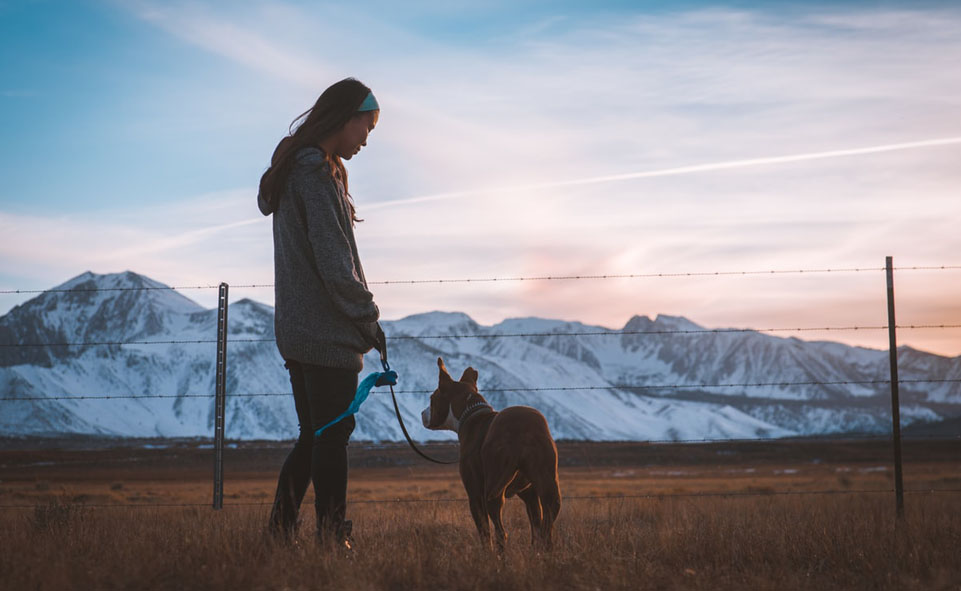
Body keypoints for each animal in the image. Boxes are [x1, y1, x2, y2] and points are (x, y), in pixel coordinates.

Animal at [422, 358, 564, 552]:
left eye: (432, 398)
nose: (422, 413)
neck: (469, 413)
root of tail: (522, 430)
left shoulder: (474, 493)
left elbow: (484, 532)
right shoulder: (529, 494)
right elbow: (536, 526)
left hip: (493, 489)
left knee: (500, 532)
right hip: (548, 486)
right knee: (547, 528)